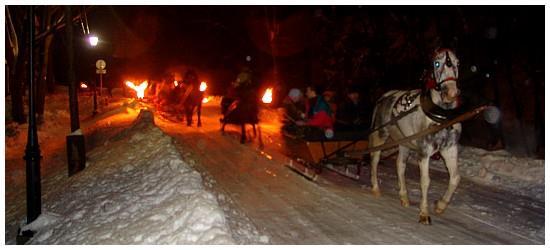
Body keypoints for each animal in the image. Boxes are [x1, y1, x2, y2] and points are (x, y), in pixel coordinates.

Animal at [370, 48, 462, 225]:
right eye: (437, 63)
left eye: (457, 63)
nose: (451, 93)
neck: (441, 118)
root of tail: (385, 96)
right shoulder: (424, 152)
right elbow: (425, 181)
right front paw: (424, 213)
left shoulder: (450, 149)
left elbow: (455, 178)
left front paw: (440, 205)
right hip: (380, 135)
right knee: (375, 159)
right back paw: (376, 188)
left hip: (404, 142)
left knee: (400, 165)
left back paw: (404, 197)